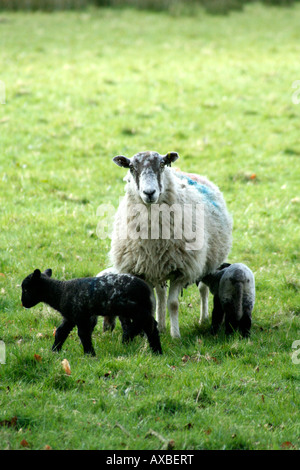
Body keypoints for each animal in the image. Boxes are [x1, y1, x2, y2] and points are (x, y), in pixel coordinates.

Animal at [20, 268, 163, 356]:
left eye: (26, 289)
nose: (23, 303)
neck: (60, 292)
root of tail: (146, 289)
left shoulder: (80, 315)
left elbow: (83, 334)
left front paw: (90, 354)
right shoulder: (70, 317)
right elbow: (60, 333)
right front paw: (55, 351)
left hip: (132, 308)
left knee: (147, 323)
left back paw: (135, 340)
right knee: (149, 325)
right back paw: (153, 349)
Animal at [108, 151, 232, 338]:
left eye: (162, 164)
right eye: (131, 167)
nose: (149, 192)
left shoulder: (181, 270)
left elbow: (173, 304)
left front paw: (176, 336)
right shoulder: (143, 269)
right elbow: (152, 302)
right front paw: (151, 332)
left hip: (207, 262)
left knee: (203, 289)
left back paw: (202, 319)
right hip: (158, 268)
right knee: (160, 295)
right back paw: (161, 326)